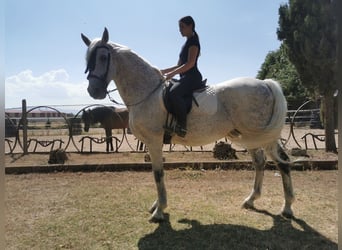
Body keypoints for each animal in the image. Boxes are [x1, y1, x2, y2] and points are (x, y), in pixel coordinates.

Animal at [80, 28, 294, 222]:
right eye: (88, 59)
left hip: (262, 136)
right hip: (250, 137)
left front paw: (159, 211)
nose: (94, 90)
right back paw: (251, 200)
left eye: (103, 57)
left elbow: (158, 173)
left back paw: (287, 207)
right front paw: (157, 206)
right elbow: (157, 173)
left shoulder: (154, 141)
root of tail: (265, 83)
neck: (147, 92)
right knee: (260, 162)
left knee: (282, 162)